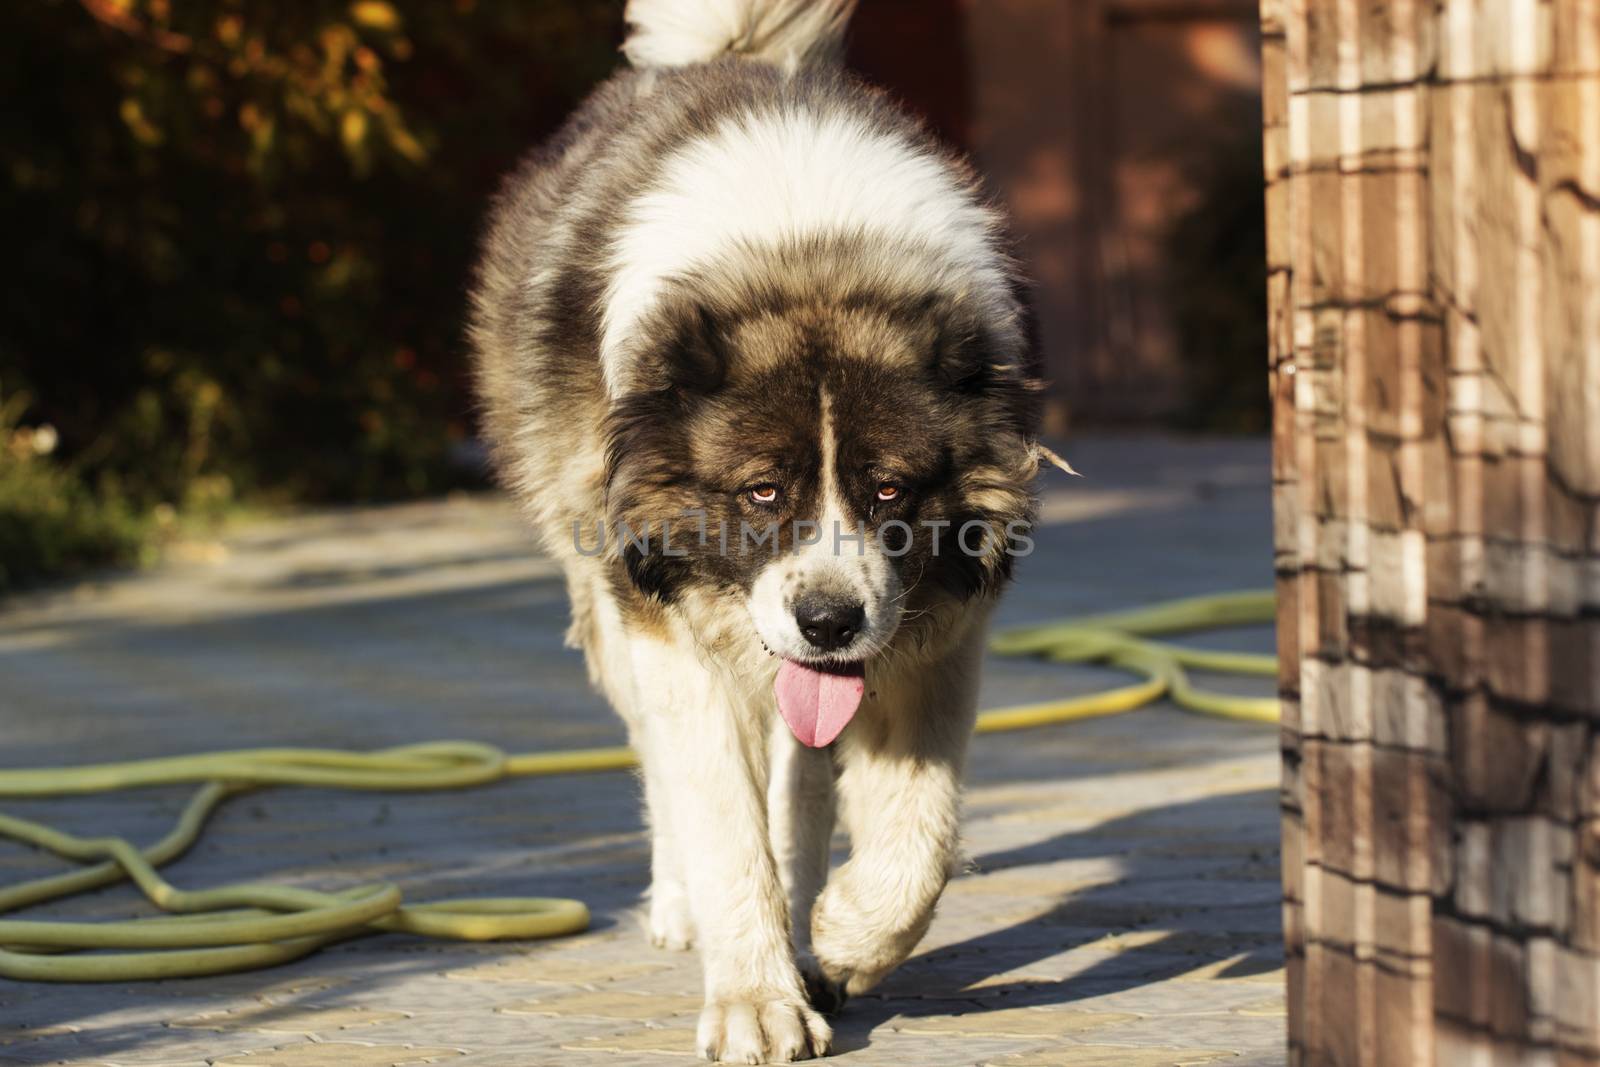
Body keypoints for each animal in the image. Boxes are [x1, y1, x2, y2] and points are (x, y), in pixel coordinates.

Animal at [467, 0, 1043, 1062]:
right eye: (764, 491)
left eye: (891, 491)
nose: (828, 622)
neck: (805, 254)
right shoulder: (667, 623)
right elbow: (722, 825)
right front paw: (754, 998)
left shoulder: (943, 636)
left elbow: (920, 828)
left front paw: (848, 934)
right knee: (665, 766)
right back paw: (685, 907)